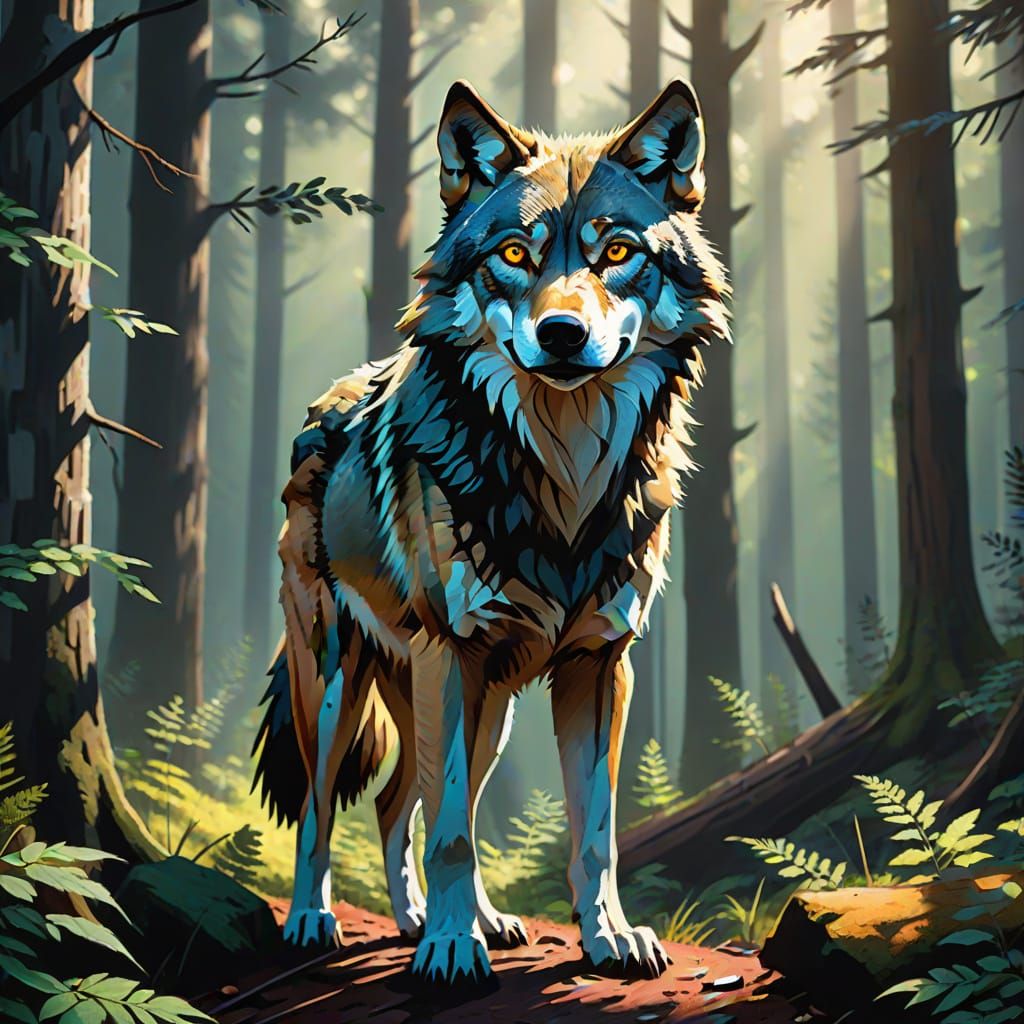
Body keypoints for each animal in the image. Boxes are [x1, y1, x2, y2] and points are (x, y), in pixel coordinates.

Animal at [253, 77, 729, 985]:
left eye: (617, 253)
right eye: (513, 254)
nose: (562, 334)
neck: (565, 474)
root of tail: (325, 400)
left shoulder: (599, 664)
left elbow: (594, 833)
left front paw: (608, 938)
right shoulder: (451, 652)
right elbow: (449, 837)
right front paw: (448, 948)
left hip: (491, 708)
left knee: (404, 802)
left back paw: (442, 920)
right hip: (339, 686)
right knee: (331, 812)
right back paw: (317, 921)